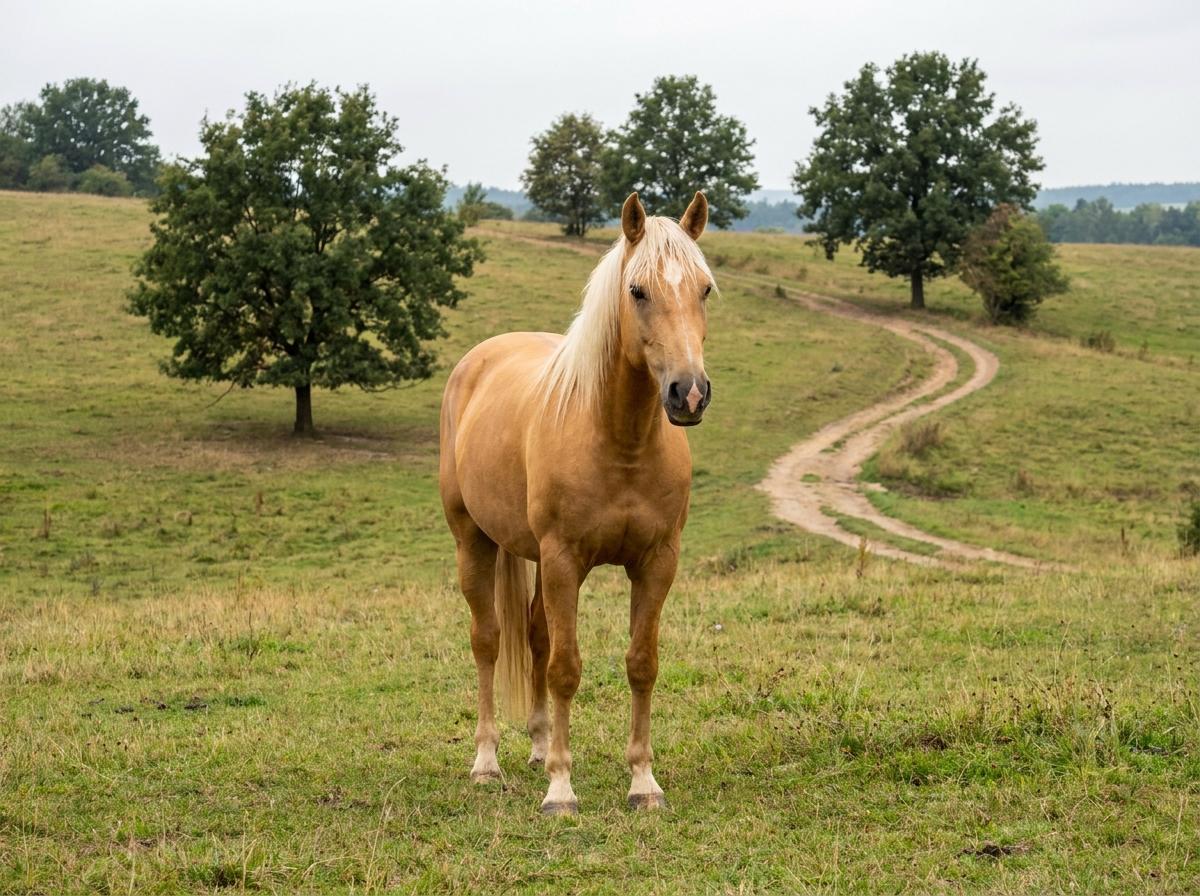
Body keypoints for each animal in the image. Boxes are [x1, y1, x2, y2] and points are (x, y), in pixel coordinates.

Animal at [438, 191, 715, 815]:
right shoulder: (565, 560)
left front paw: (642, 782)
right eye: (637, 291)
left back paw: (540, 747)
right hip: (474, 542)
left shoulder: (657, 563)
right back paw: (488, 763)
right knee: (488, 640)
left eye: (705, 289)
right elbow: (565, 668)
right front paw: (561, 790)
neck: (620, 441)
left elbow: (641, 664)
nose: (688, 393)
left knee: (536, 636)